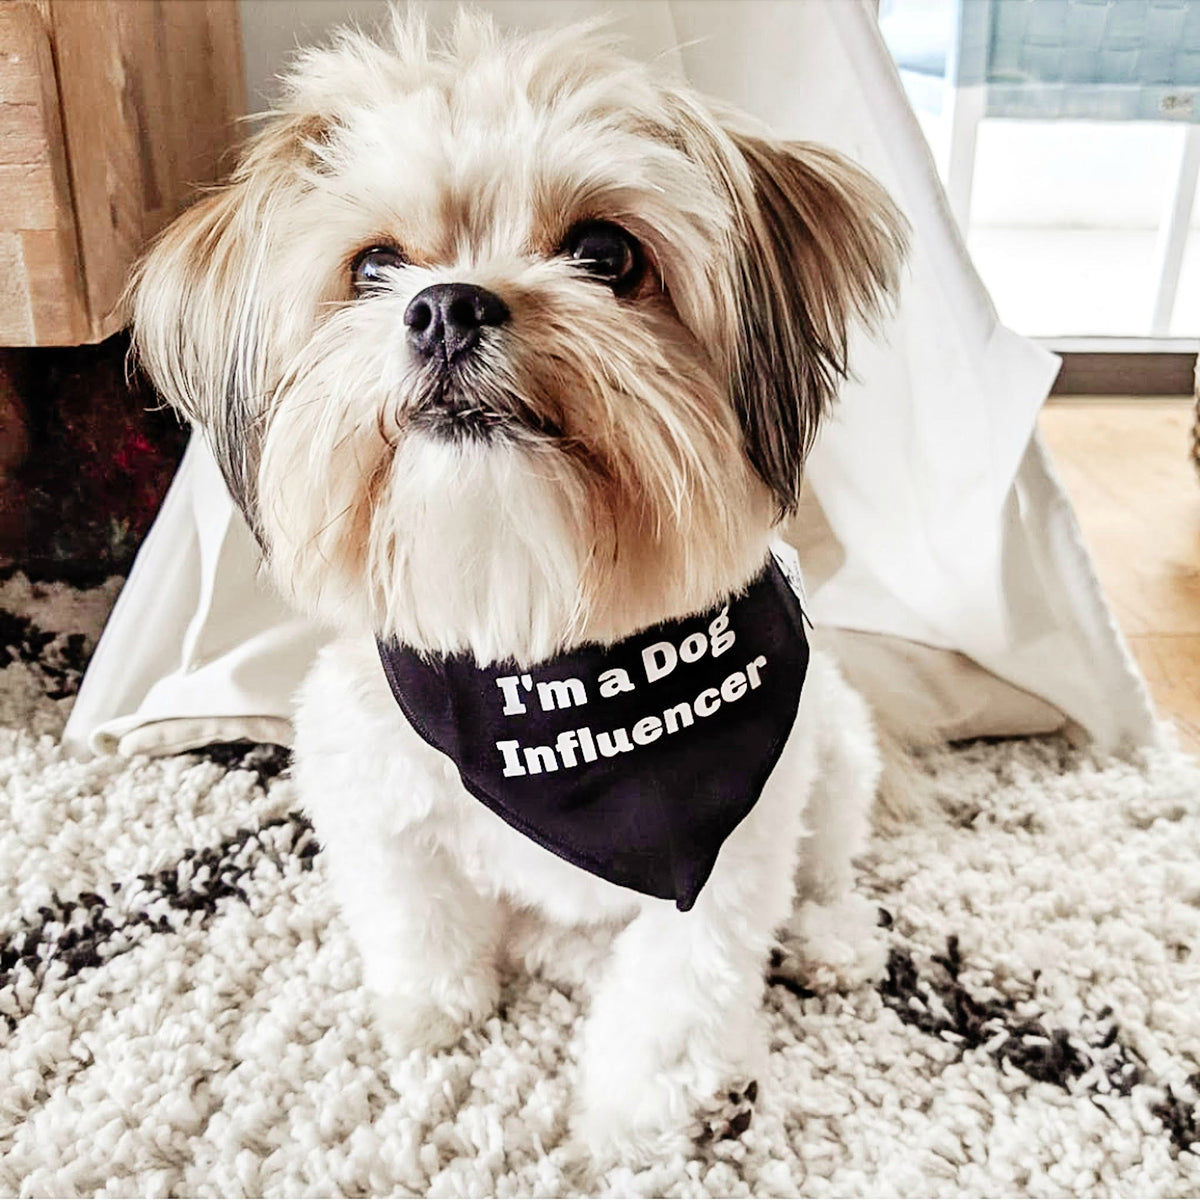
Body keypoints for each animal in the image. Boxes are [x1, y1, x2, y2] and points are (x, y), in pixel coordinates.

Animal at [126, 9, 902, 1166]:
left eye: (606, 254)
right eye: (374, 265)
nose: (445, 306)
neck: (532, 631)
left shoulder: (727, 860)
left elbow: (675, 996)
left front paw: (644, 1119)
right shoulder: (370, 791)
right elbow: (414, 917)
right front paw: (433, 1010)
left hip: (838, 746)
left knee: (830, 864)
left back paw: (831, 938)